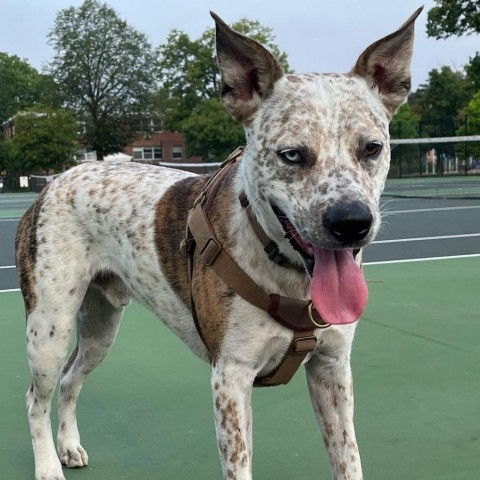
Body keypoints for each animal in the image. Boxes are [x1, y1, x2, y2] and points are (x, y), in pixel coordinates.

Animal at [15, 9, 422, 480]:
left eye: (371, 148)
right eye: (292, 155)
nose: (352, 222)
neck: (287, 274)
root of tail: (57, 179)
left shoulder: (332, 367)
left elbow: (348, 459)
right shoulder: (230, 376)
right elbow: (239, 464)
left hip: (100, 329)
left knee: (70, 379)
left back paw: (68, 446)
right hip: (50, 328)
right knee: (36, 398)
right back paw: (48, 465)